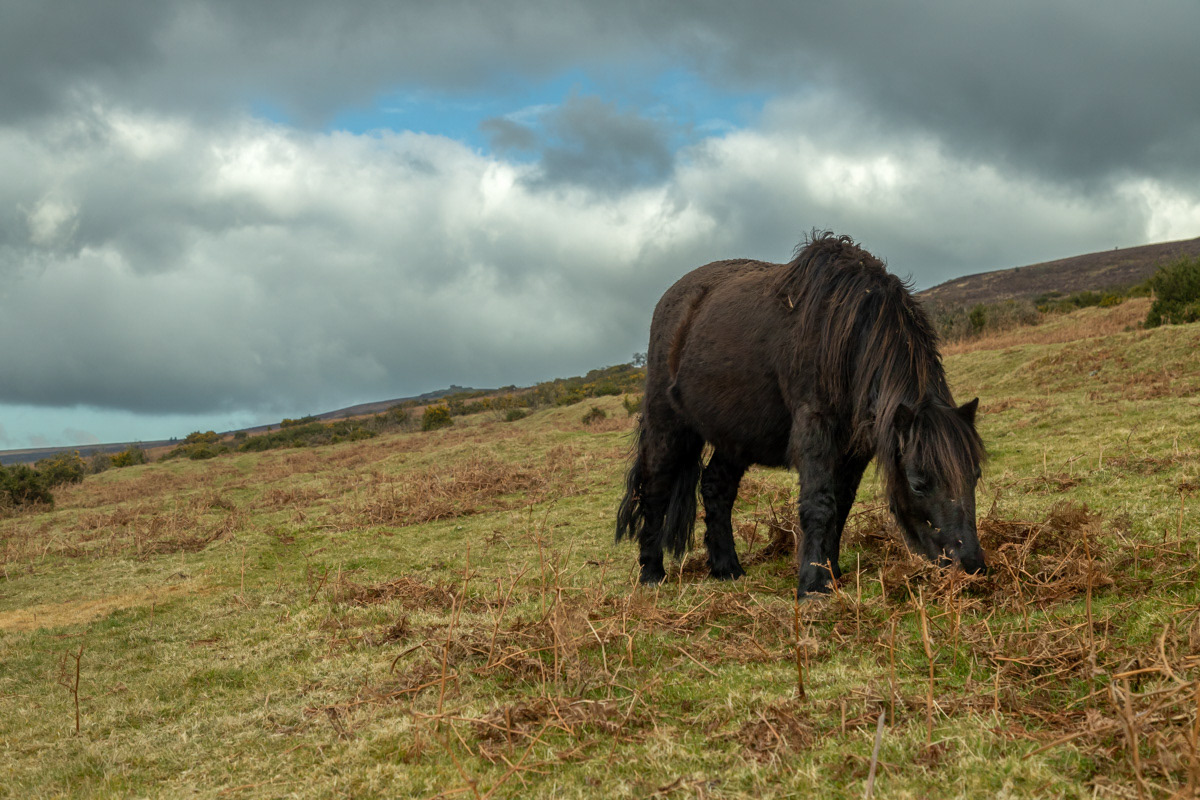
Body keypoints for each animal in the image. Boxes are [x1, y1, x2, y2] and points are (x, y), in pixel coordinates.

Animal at [616, 232, 986, 595]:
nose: (972, 568)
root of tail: (673, 299)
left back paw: (727, 568)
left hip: (735, 437)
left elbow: (841, 504)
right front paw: (813, 585)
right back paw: (651, 573)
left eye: (975, 475)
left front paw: (832, 573)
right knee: (655, 489)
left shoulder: (855, 447)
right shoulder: (814, 428)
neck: (843, 331)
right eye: (919, 484)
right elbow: (819, 504)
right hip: (668, 426)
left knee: (715, 488)